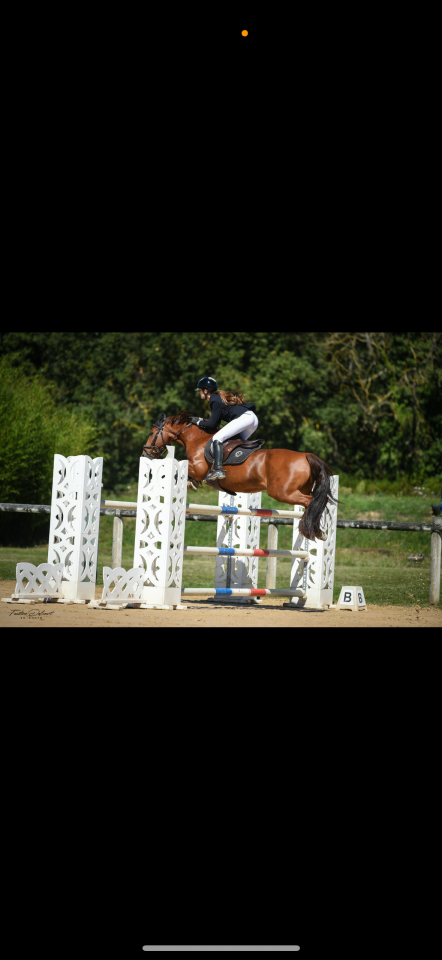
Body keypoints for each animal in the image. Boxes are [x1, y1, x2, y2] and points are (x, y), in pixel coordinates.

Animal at [142, 411, 338, 542]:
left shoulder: (197, 468)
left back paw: (310, 529)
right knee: (314, 502)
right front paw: (191, 483)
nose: (146, 455)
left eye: (151, 432)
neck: (197, 440)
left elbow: (179, 464)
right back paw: (316, 531)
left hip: (282, 493)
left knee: (311, 501)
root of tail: (306, 455)